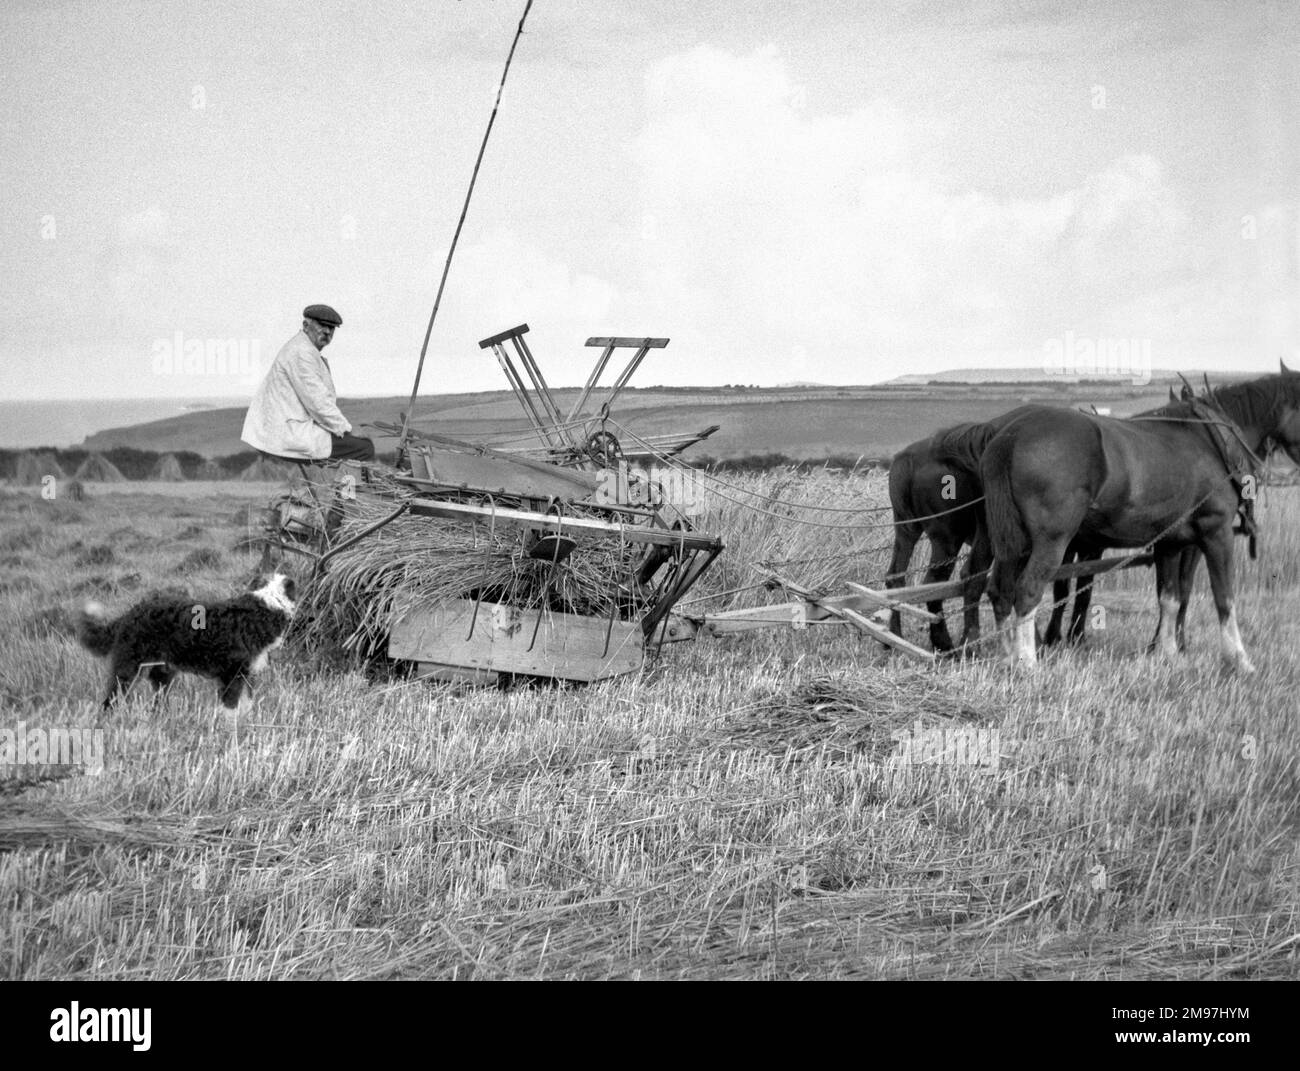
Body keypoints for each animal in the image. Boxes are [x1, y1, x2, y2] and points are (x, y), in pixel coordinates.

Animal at [78, 569, 297, 717]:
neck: (266, 606)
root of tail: (130, 614)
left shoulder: (247, 674)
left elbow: (246, 704)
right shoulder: (231, 675)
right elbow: (230, 709)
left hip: (163, 672)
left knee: (158, 699)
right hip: (129, 669)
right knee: (111, 699)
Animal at [977, 371, 1294, 665]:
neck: (1212, 442)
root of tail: (1011, 435)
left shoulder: (1170, 541)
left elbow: (1170, 596)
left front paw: (1167, 652)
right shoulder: (1215, 531)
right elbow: (1222, 595)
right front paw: (1237, 659)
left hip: (1012, 540)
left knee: (1000, 590)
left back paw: (1009, 654)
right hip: (1051, 541)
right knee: (1028, 590)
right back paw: (1027, 662)